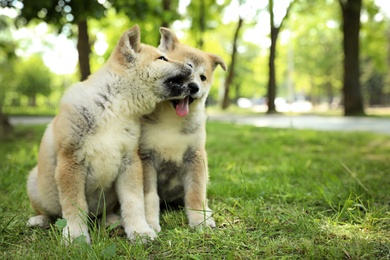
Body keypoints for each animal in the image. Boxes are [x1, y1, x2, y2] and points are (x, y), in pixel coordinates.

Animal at [25, 24, 193, 244]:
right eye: (162, 58)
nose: (191, 66)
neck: (114, 106)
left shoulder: (130, 161)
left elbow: (133, 203)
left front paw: (139, 231)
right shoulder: (70, 162)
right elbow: (74, 206)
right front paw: (76, 236)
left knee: (107, 211)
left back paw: (111, 220)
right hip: (36, 183)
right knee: (49, 212)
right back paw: (39, 220)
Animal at [139, 27, 225, 232]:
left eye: (203, 77)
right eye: (187, 69)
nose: (194, 87)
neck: (172, 121)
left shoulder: (195, 156)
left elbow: (195, 193)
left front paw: (200, 220)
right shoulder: (146, 158)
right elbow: (149, 197)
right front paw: (150, 222)